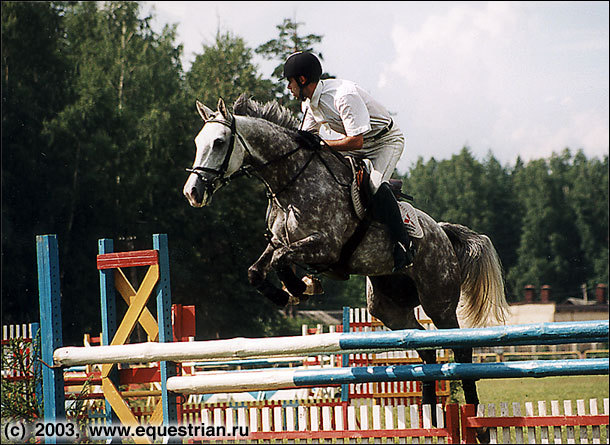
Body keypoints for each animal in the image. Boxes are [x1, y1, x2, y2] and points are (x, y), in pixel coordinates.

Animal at [183, 93, 506, 440]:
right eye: (197, 142)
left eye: (218, 142)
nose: (192, 192)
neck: (291, 183)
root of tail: (442, 231)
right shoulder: (278, 242)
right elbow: (258, 270)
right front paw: (289, 293)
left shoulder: (325, 246)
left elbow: (283, 259)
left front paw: (300, 287)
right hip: (389, 309)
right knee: (425, 348)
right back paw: (430, 415)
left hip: (439, 301)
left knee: (460, 350)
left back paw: (476, 422)